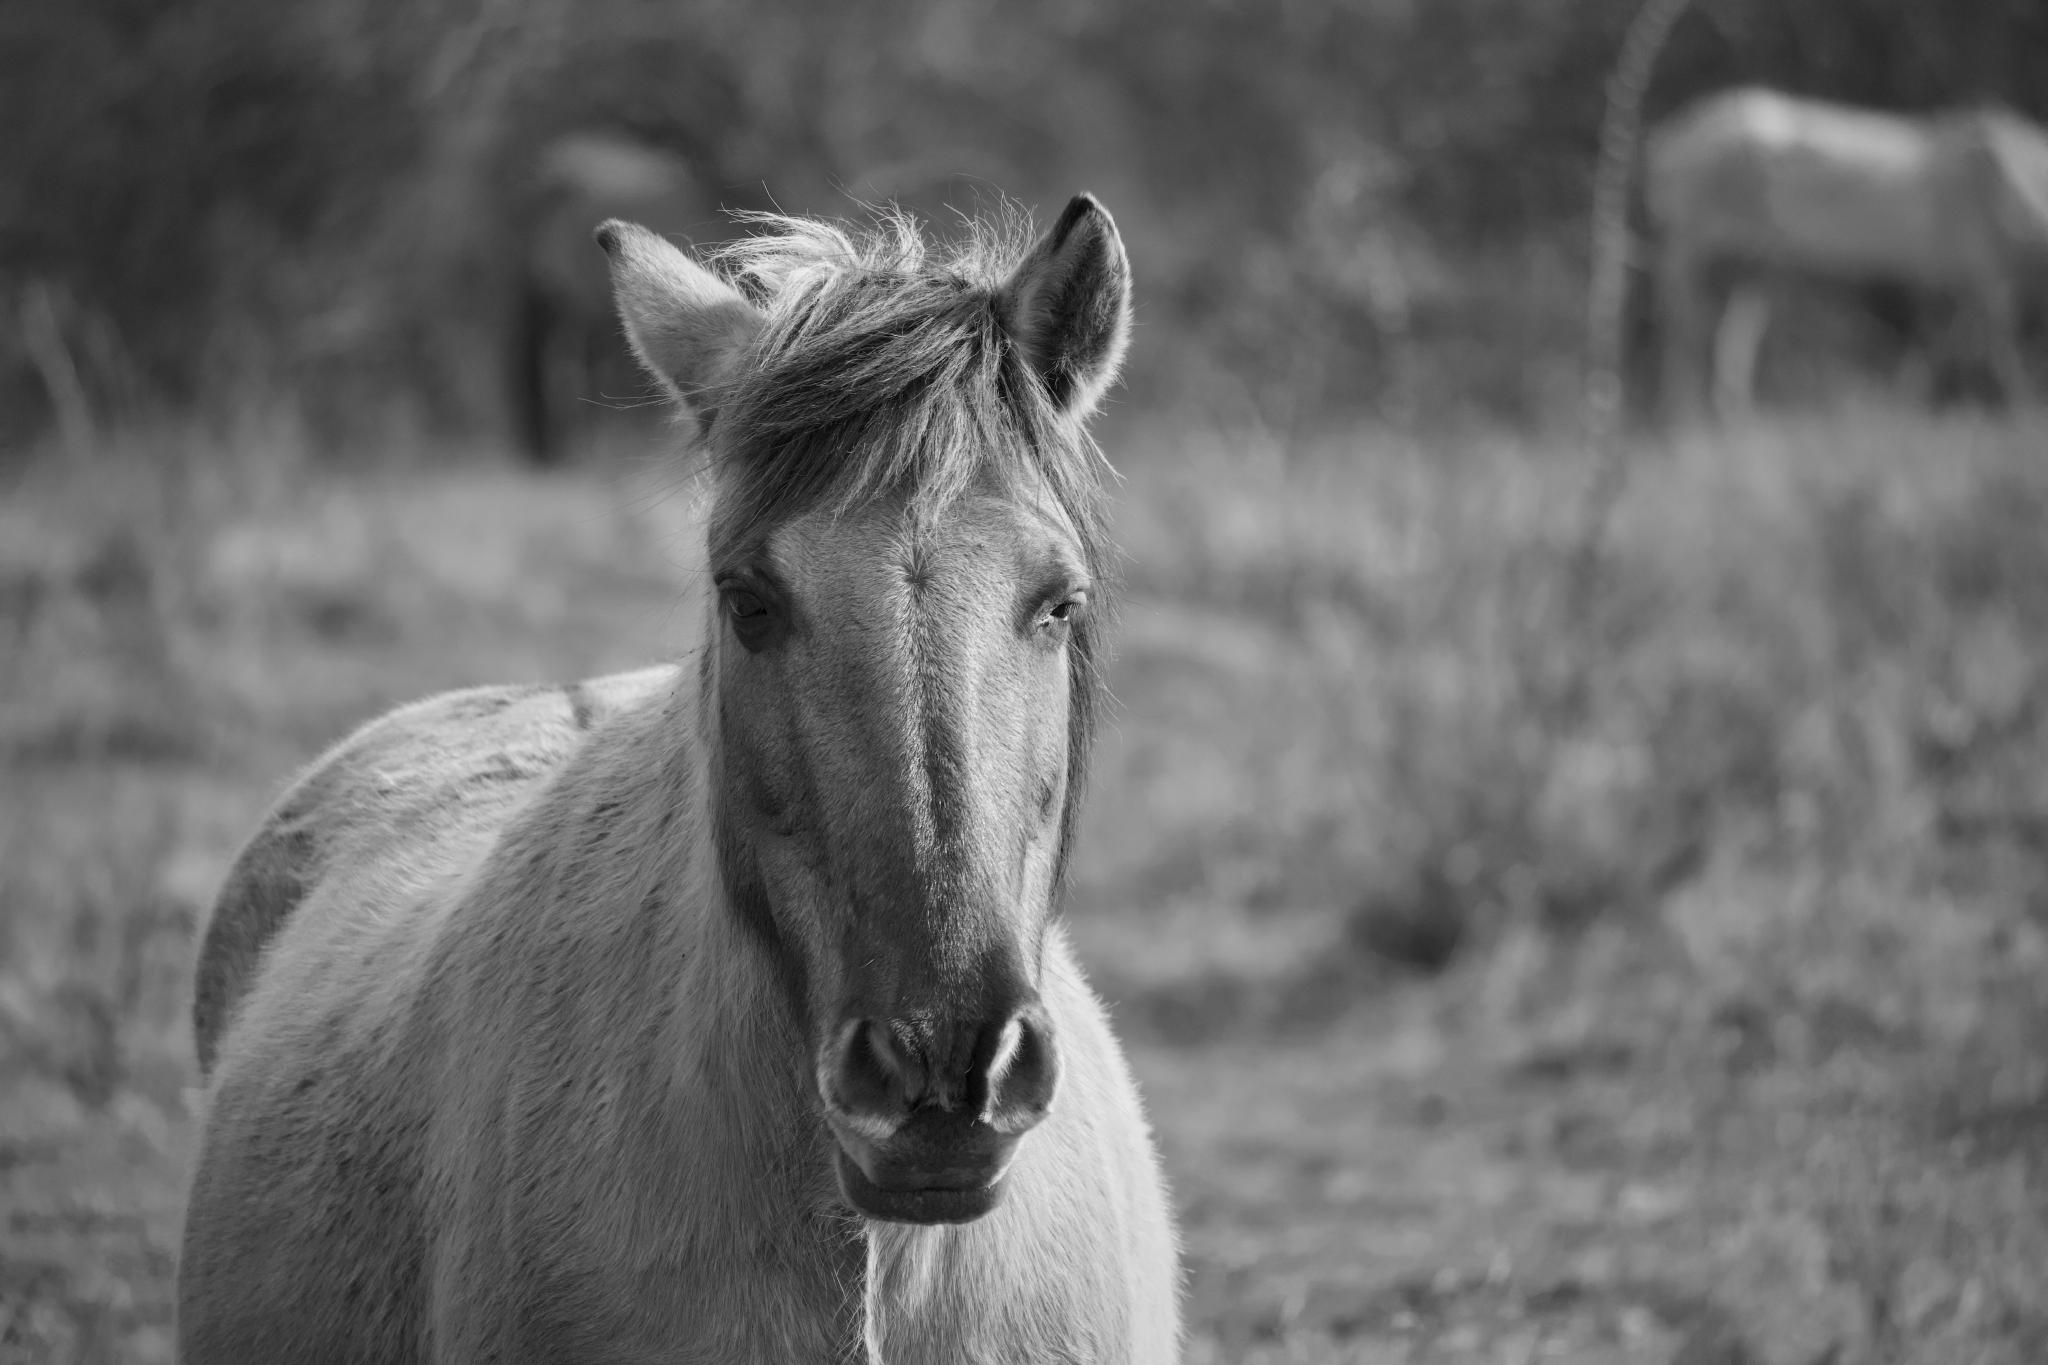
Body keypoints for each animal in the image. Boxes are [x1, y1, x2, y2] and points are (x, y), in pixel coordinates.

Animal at [1646, 86, 2048, 416]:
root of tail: (1670, 144)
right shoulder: (1980, 272)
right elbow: (1997, 347)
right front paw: (2022, 405)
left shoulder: (1960, 283)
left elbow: (1949, 342)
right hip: (1691, 245)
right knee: (1681, 325)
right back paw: (1681, 413)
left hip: (1752, 267)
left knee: (1730, 337)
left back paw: (1730, 412)